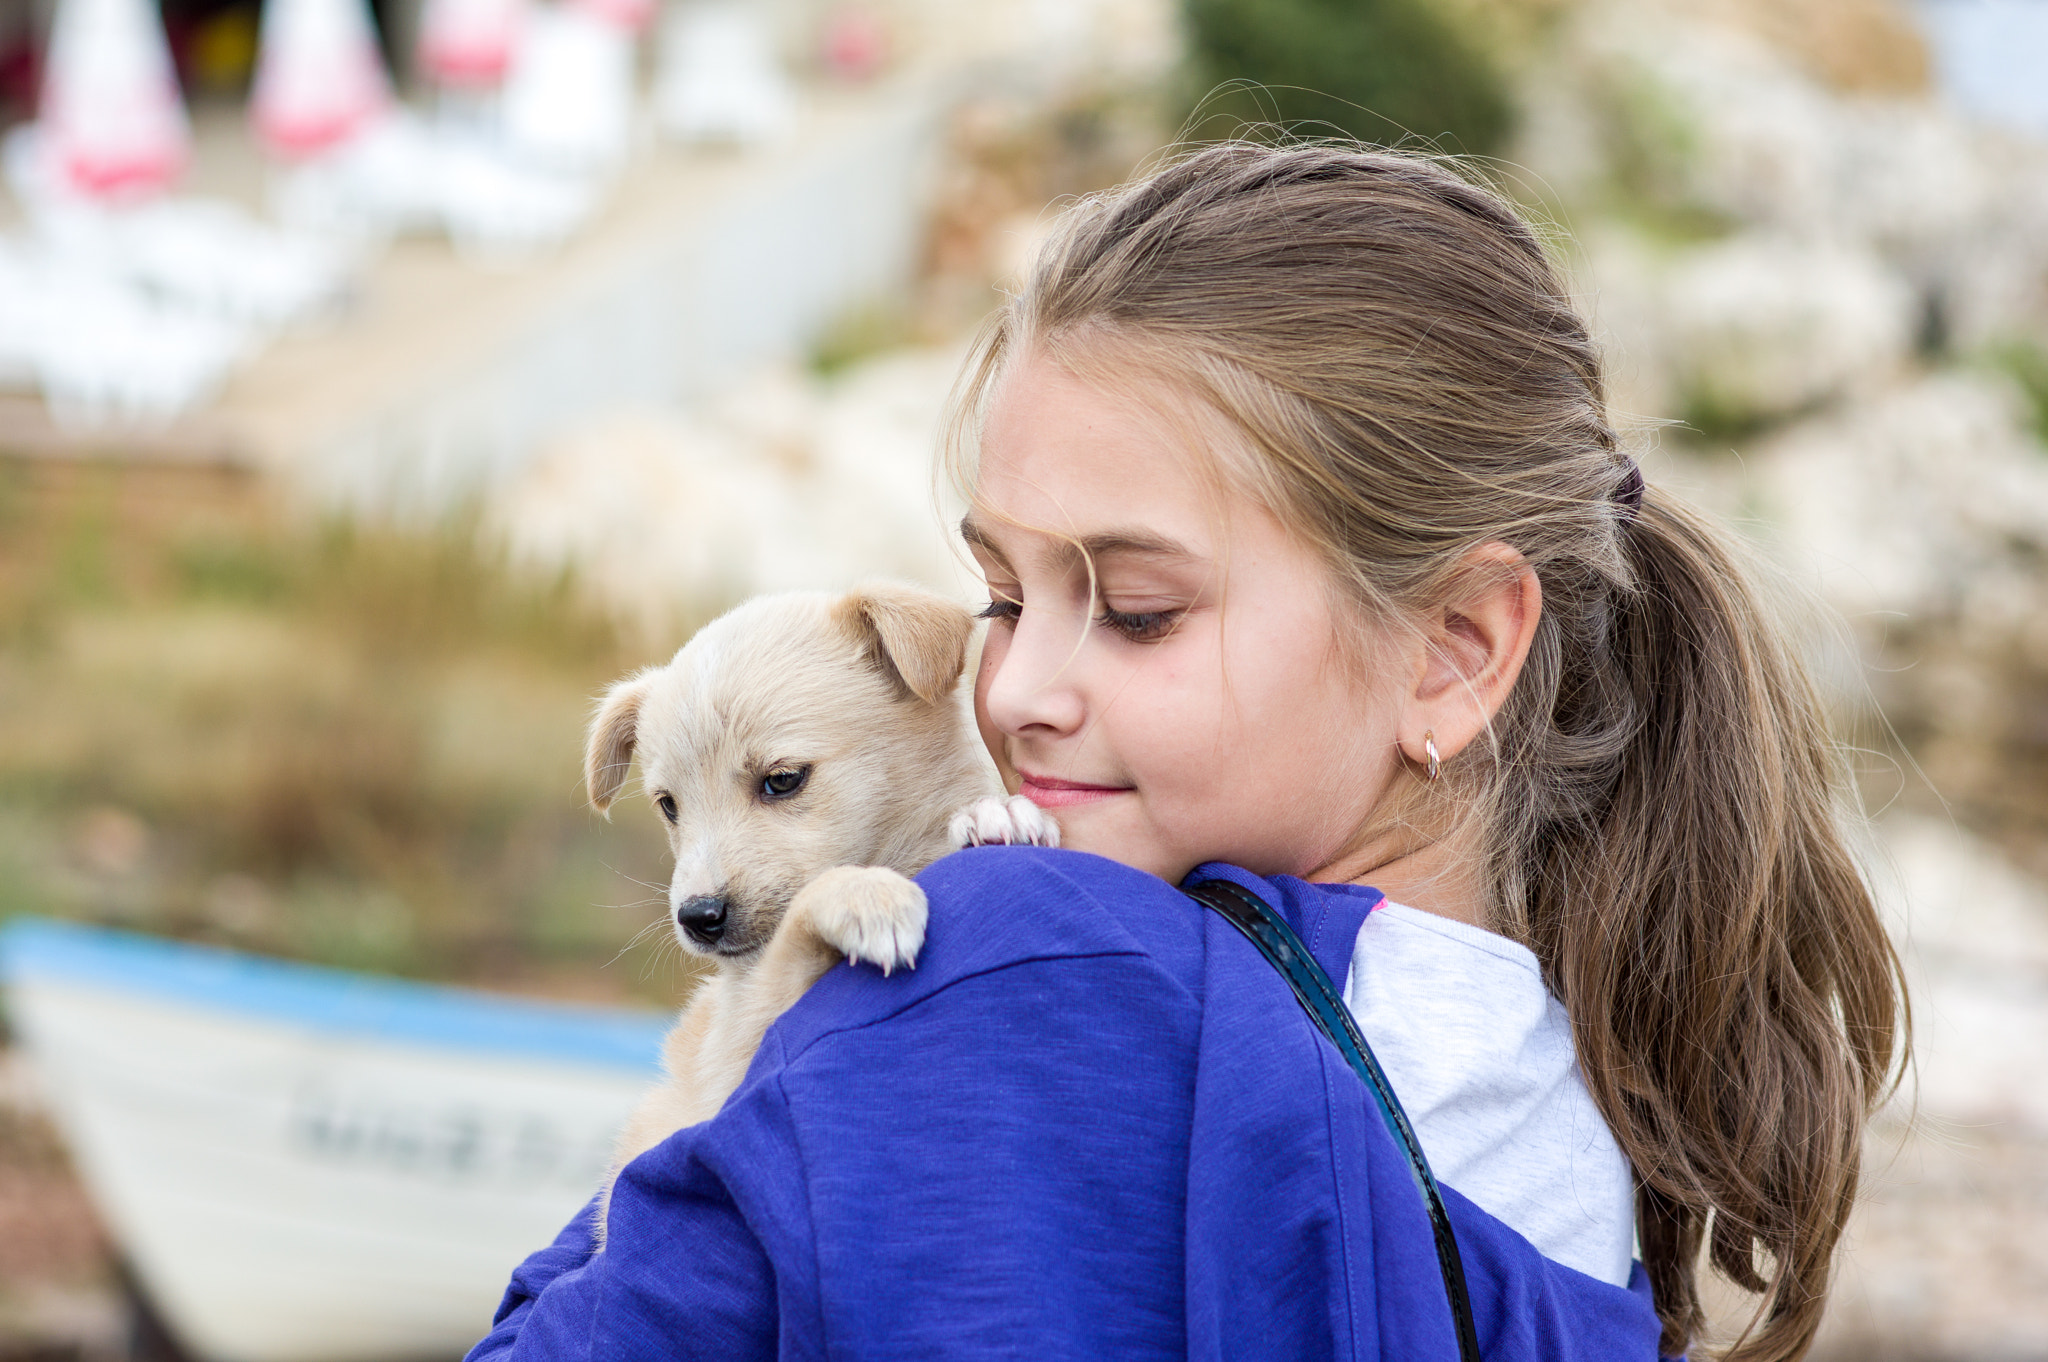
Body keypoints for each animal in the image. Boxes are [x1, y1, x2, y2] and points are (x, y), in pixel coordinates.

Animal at [581, 577, 1048, 1237]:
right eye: (669, 805)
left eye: (782, 779)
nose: (698, 917)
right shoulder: (727, 1071)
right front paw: (861, 893)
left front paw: (994, 813)